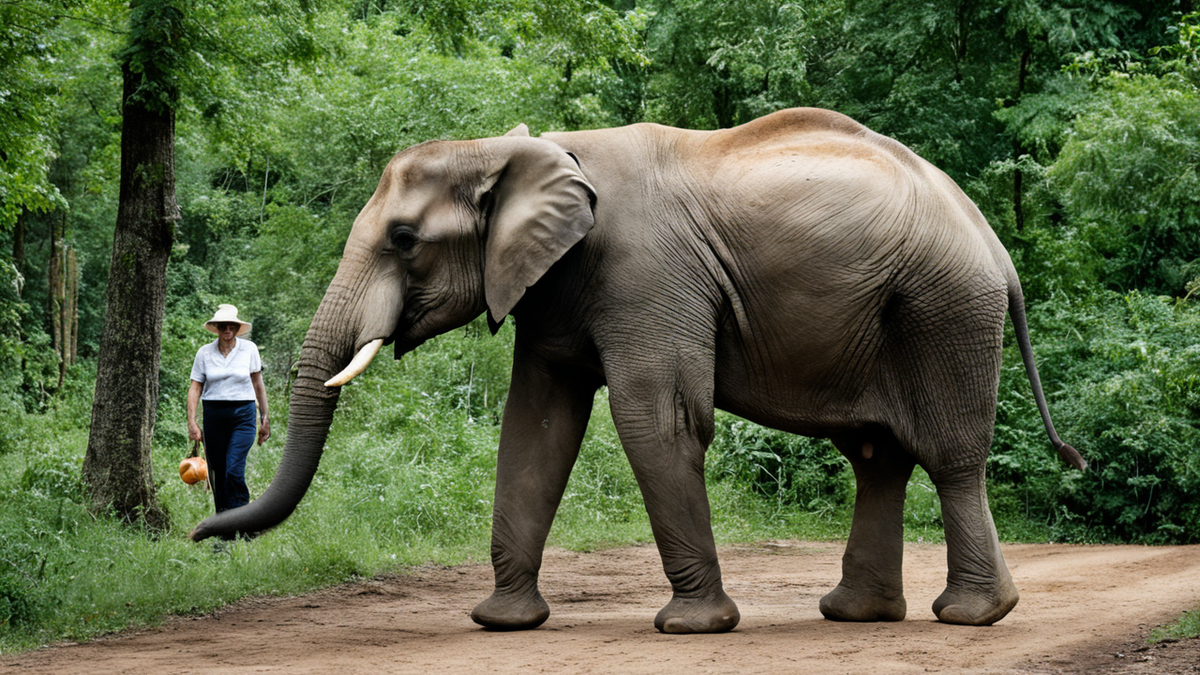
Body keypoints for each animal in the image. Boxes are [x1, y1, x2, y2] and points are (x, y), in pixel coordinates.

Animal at [190, 107, 1084, 634]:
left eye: (405, 240)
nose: (198, 530)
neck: (524, 147)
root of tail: (995, 244)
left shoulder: (644, 272)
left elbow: (656, 418)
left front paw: (691, 628)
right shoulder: (553, 287)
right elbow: (537, 426)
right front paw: (503, 622)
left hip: (942, 308)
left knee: (949, 454)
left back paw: (972, 615)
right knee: (878, 457)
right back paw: (856, 615)